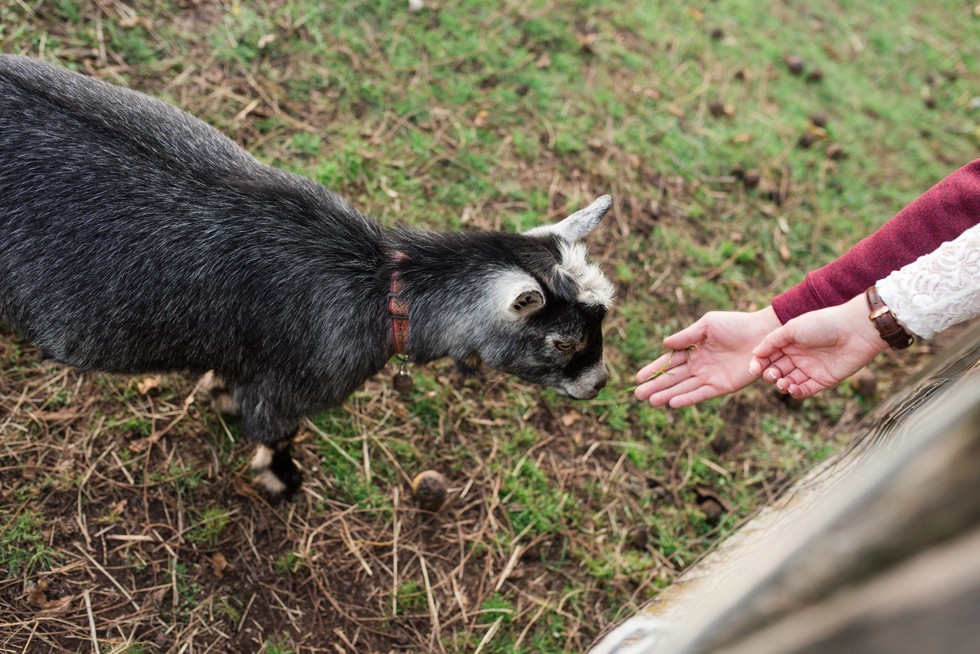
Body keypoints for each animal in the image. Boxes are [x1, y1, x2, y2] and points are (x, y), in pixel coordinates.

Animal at [0, 56, 612, 498]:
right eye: (563, 341)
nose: (600, 383)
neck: (381, 290)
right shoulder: (290, 388)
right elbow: (275, 432)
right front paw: (282, 480)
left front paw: (219, 396)